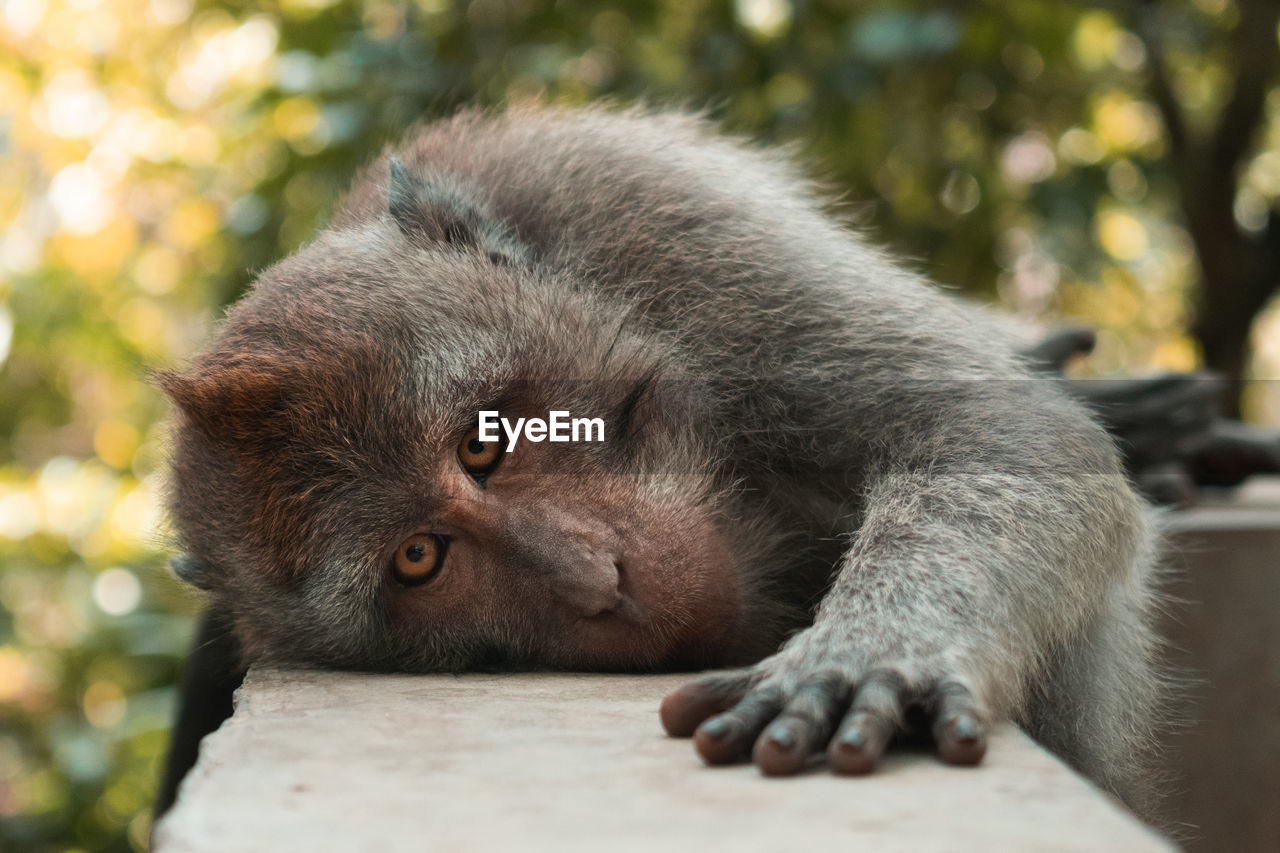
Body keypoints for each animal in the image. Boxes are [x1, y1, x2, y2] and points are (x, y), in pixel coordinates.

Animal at [157, 103, 1172, 819]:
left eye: (482, 443)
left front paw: (868, 655)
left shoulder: (646, 210)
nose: (597, 581)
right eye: (419, 559)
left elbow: (988, 424)